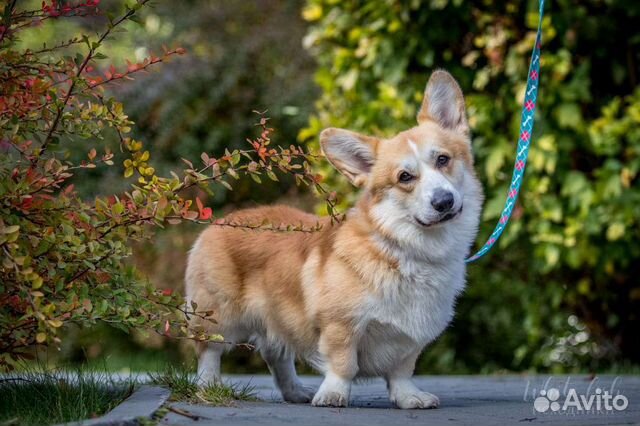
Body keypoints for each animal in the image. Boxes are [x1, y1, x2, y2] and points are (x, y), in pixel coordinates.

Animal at [188, 70, 482, 410]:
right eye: (404, 177)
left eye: (443, 159)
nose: (444, 201)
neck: (405, 249)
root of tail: (218, 221)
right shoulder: (339, 326)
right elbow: (343, 365)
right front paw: (333, 395)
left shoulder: (408, 341)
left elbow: (401, 372)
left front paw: (409, 397)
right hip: (216, 317)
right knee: (209, 352)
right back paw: (209, 386)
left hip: (278, 320)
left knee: (277, 355)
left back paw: (295, 391)